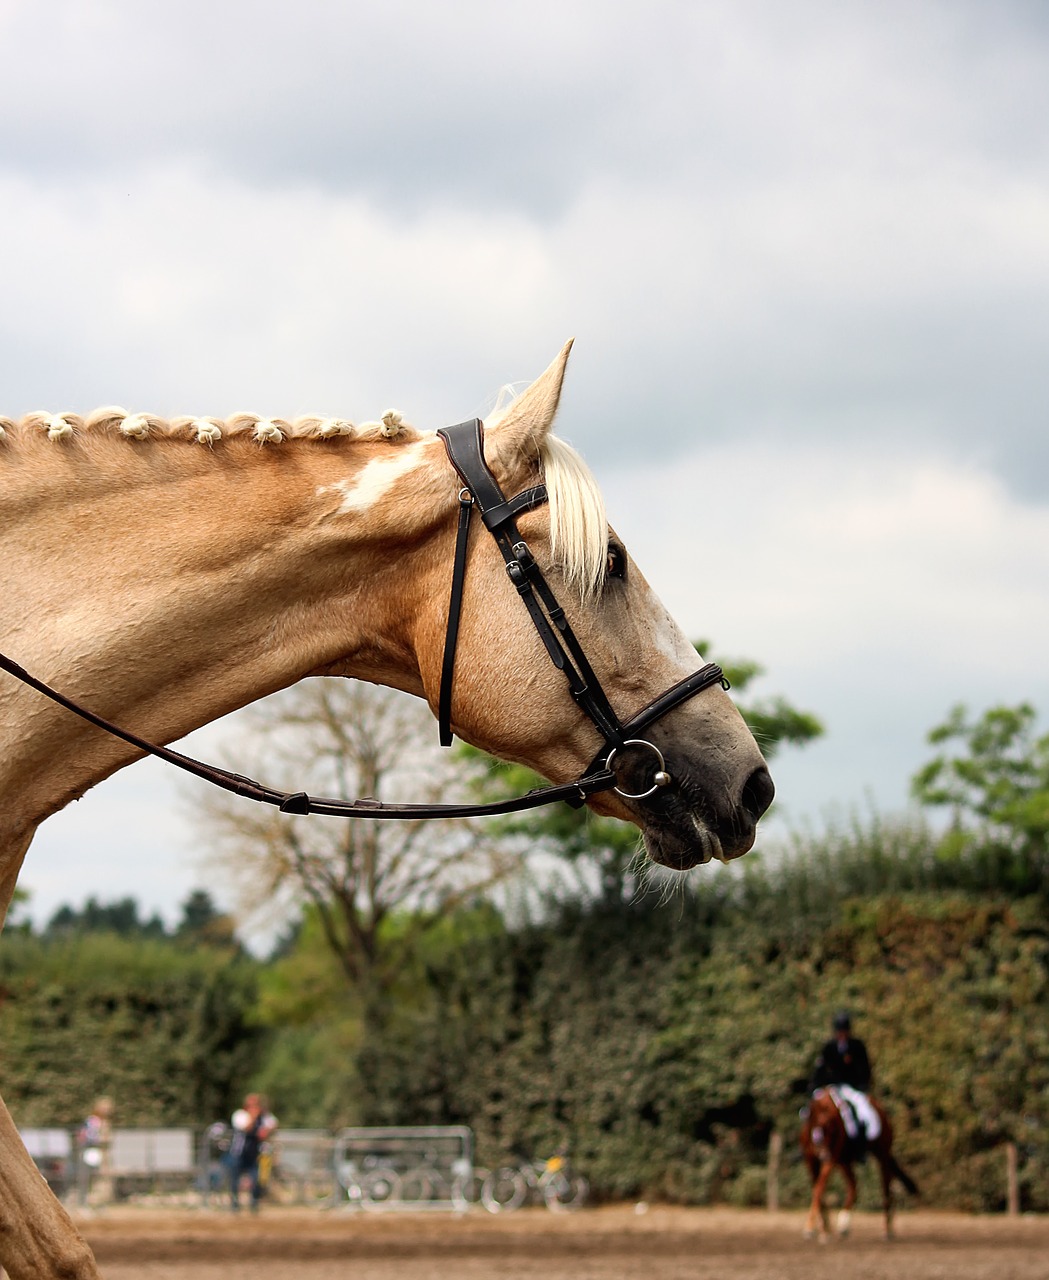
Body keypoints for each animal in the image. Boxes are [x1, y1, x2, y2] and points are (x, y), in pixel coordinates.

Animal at [803, 1090, 915, 1239]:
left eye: (830, 1126)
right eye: (813, 1124)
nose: (822, 1153)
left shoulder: (831, 1159)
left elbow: (819, 1189)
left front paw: (812, 1227)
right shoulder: (811, 1160)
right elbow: (818, 1190)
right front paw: (823, 1229)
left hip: (882, 1155)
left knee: (886, 1188)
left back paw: (887, 1229)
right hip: (844, 1161)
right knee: (854, 1186)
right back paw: (843, 1225)